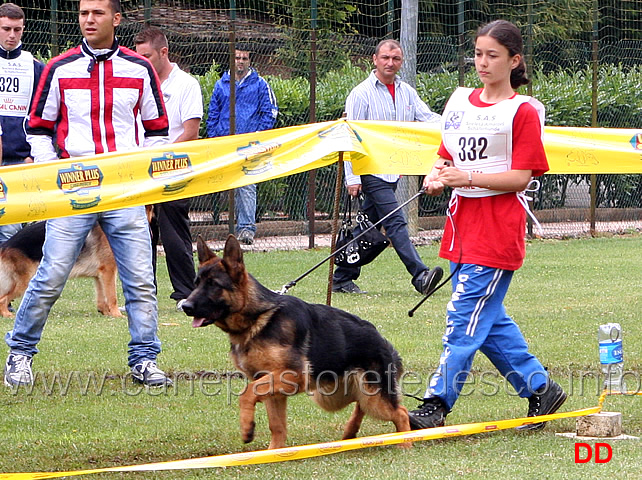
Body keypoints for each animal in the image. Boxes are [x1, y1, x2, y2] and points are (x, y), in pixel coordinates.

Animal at [180, 236, 410, 450]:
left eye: (213, 285)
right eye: (196, 283)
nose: (185, 306)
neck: (258, 317)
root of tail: (382, 339)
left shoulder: (291, 376)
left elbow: (247, 393)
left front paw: (247, 428)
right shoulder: (272, 386)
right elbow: (277, 425)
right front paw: (273, 454)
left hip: (371, 396)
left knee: (400, 412)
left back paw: (405, 443)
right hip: (331, 396)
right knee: (361, 404)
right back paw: (350, 433)